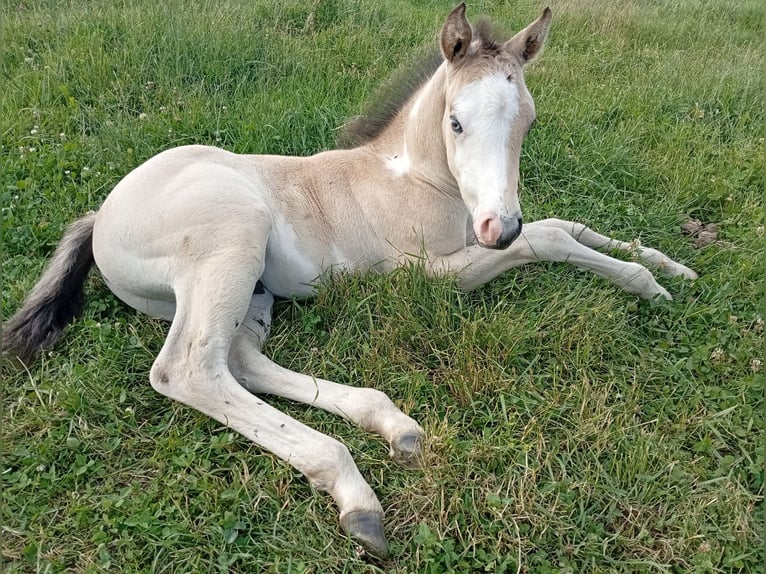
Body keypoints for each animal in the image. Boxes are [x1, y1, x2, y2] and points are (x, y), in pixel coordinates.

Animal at [2, 4, 697, 559]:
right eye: (456, 122)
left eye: (526, 120)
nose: (499, 225)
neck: (412, 177)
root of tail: (98, 217)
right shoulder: (425, 272)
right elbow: (548, 238)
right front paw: (645, 283)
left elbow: (564, 223)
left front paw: (670, 268)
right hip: (231, 241)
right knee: (189, 369)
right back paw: (353, 491)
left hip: (251, 287)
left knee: (240, 361)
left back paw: (390, 423)